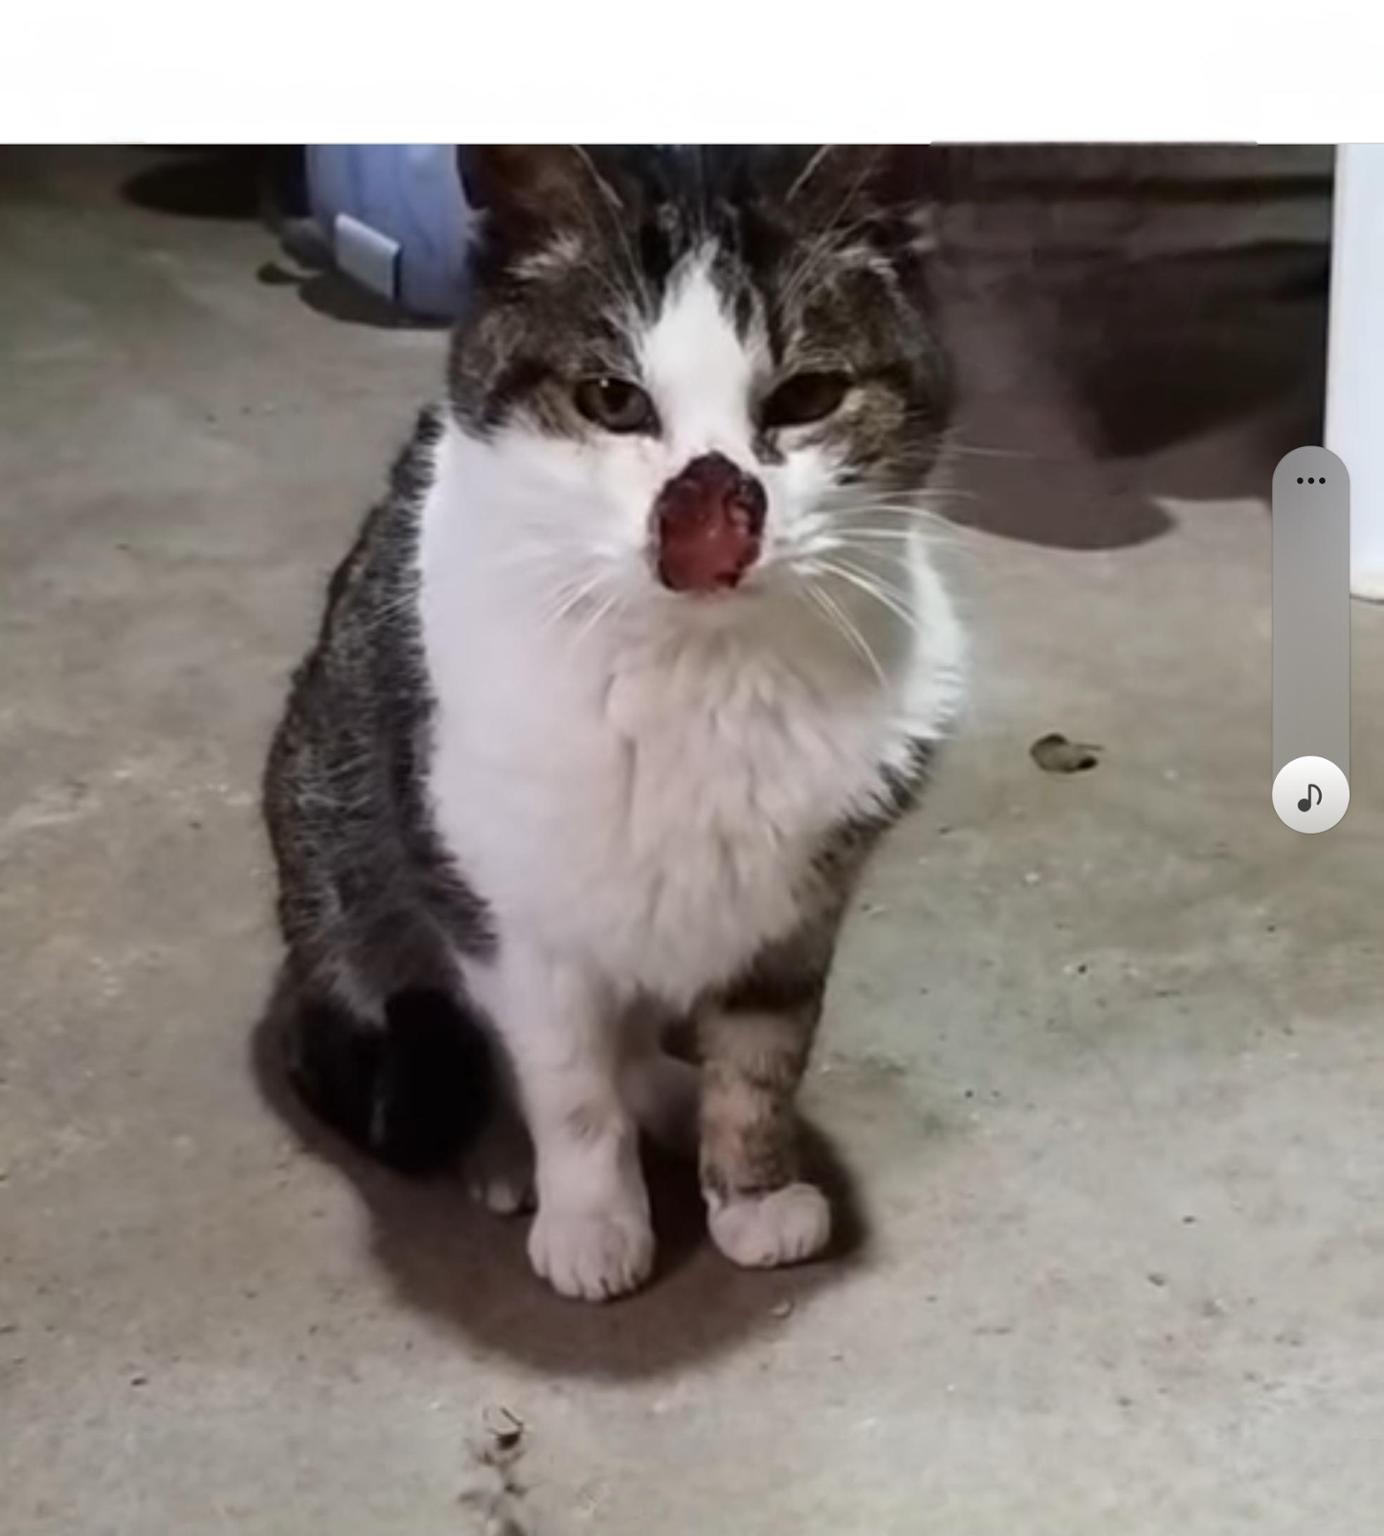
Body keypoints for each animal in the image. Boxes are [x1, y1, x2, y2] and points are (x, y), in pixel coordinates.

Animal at [263, 145, 964, 1301]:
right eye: (610, 399)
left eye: (809, 396)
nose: (710, 524)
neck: (703, 678)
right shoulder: (502, 903)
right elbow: (567, 1079)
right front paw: (593, 1218)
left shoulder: (796, 913)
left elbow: (761, 1059)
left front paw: (750, 1189)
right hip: (342, 856)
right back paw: (502, 1154)